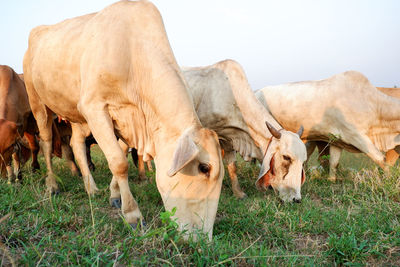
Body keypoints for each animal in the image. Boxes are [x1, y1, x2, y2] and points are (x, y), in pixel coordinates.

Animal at [23, 0, 225, 241]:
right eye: (204, 168)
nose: (204, 239)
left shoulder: (124, 121)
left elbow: (121, 152)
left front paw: (115, 195)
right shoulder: (94, 107)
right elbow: (119, 162)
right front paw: (132, 214)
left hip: (76, 114)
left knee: (76, 145)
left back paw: (91, 188)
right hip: (38, 102)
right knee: (45, 142)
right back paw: (52, 185)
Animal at [255, 70, 400, 181]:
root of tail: (257, 91)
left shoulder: (337, 140)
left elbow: (334, 163)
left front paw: (331, 180)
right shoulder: (357, 136)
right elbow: (382, 160)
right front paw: (388, 181)